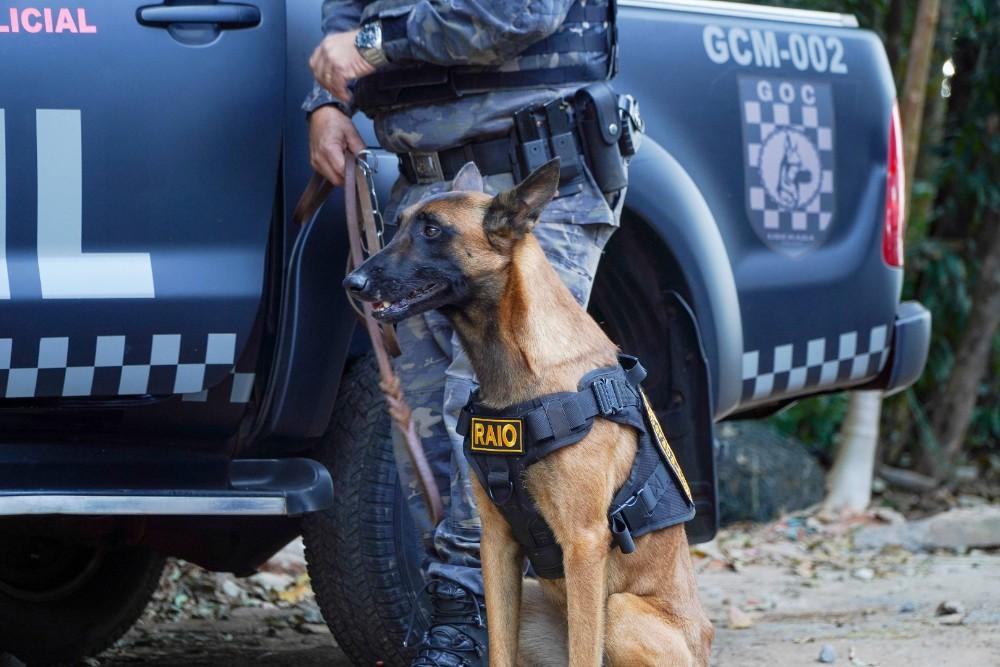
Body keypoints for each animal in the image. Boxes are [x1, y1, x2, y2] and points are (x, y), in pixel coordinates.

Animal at [344, 159, 712, 664]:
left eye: (432, 230)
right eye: (397, 226)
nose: (352, 283)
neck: (519, 370)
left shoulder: (583, 543)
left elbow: (583, 654)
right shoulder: (496, 543)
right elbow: (497, 646)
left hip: (619, 611)